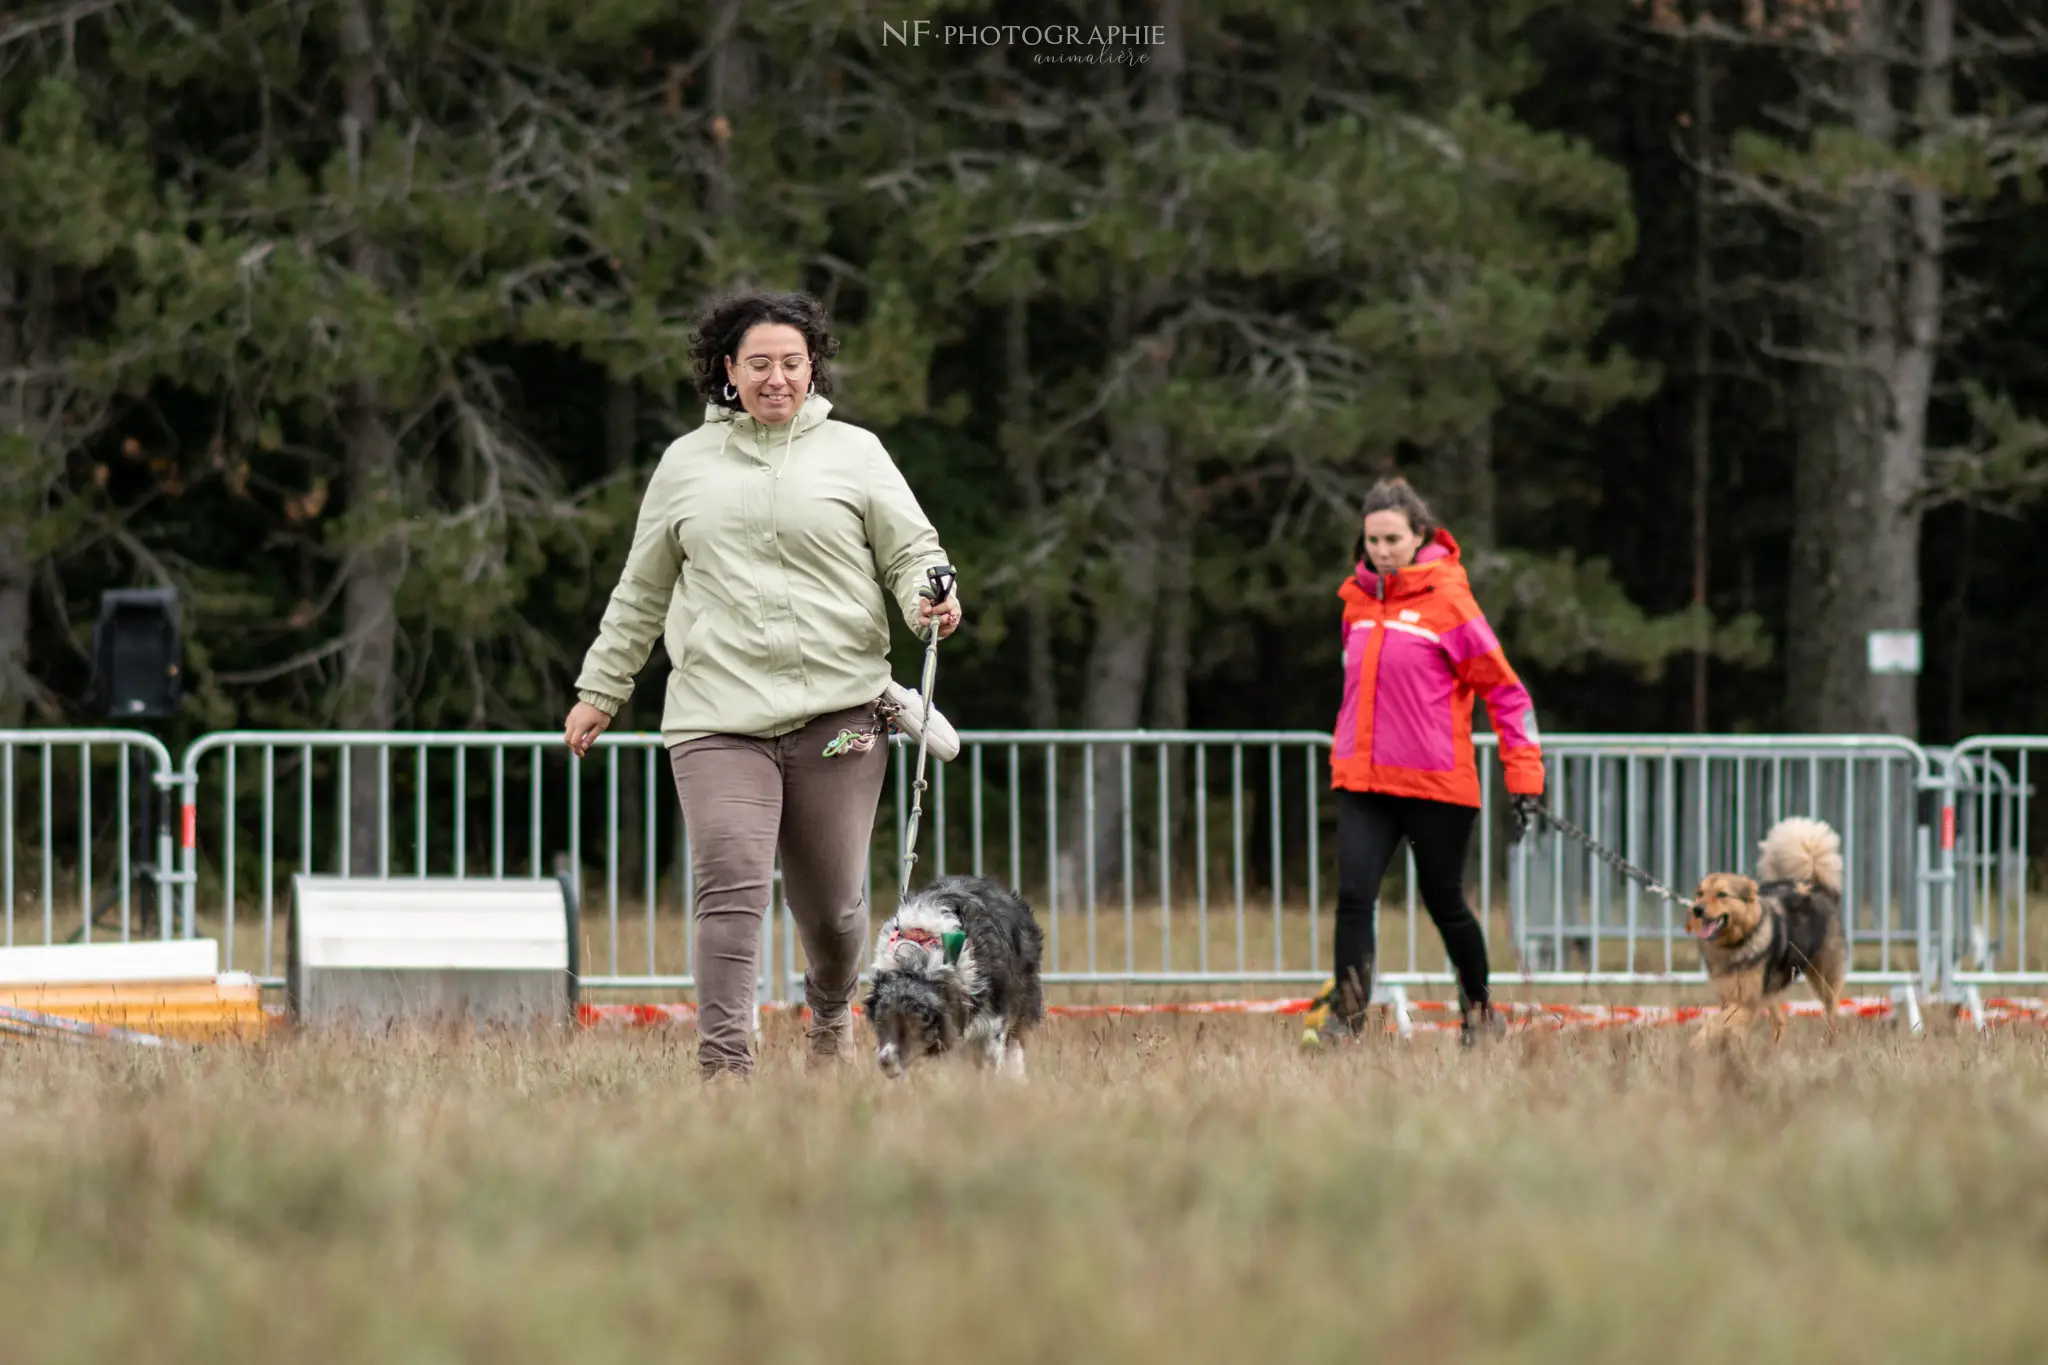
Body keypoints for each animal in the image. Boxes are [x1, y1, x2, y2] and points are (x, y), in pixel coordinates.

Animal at [864, 875, 1048, 1080]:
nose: (886, 1063)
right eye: (881, 1019)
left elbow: (992, 1057)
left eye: (915, 1022)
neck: (918, 961)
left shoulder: (993, 1017)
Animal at [1687, 818, 1851, 1055]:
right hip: (1773, 987)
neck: (1737, 943)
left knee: (1831, 1013)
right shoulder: (1729, 996)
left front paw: (1698, 1043)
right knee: (1781, 1021)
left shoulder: (1749, 1001)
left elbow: (1717, 1022)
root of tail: (1814, 885)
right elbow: (1725, 1024)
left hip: (1824, 977)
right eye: (1700, 893)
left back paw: (1829, 1046)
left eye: (1722, 894)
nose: (1697, 909)